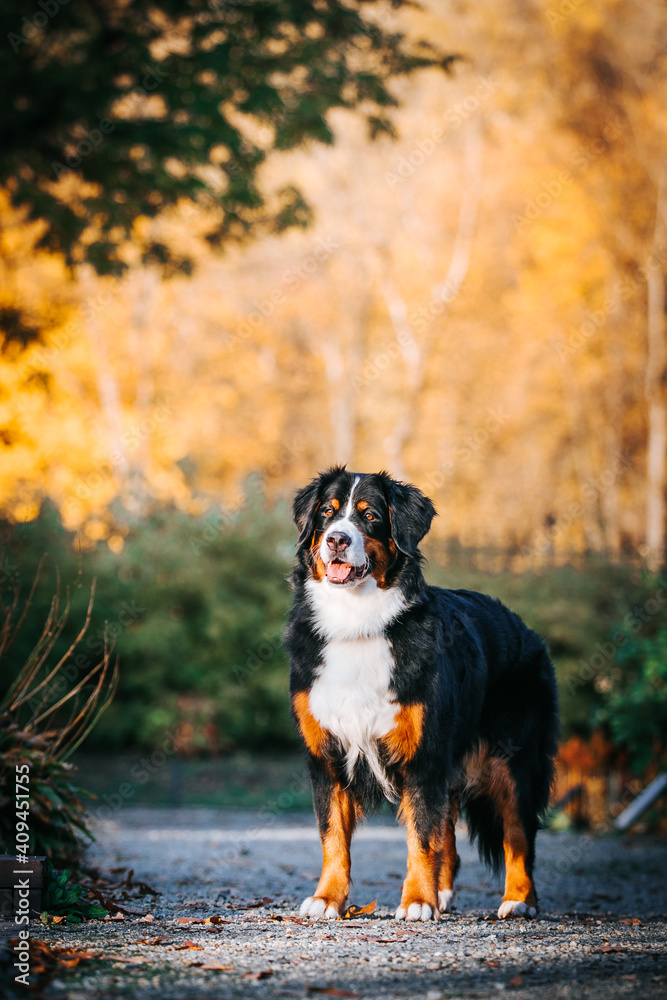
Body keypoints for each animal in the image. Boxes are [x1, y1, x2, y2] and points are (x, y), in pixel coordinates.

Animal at [284, 466, 560, 920]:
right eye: (327, 512)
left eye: (370, 516)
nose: (337, 539)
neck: (357, 625)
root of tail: (525, 628)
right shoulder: (326, 754)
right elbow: (333, 836)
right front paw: (327, 898)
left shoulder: (423, 754)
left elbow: (421, 837)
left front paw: (416, 901)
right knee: (450, 834)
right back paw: (444, 895)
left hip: (513, 759)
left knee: (519, 834)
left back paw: (519, 900)